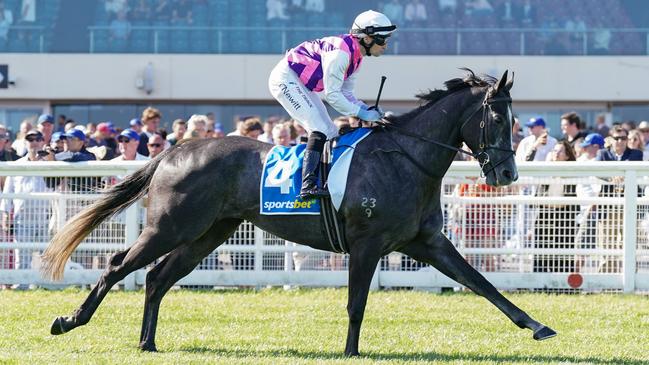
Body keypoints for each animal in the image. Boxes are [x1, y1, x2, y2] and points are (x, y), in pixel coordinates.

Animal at [43, 68, 556, 356]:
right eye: (497, 117)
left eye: (515, 119)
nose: (507, 172)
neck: (405, 158)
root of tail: (173, 150)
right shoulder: (367, 243)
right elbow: (356, 302)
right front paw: (350, 352)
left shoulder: (426, 243)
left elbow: (484, 284)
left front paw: (537, 326)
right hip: (171, 226)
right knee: (118, 265)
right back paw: (69, 320)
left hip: (210, 231)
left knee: (157, 277)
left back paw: (147, 341)